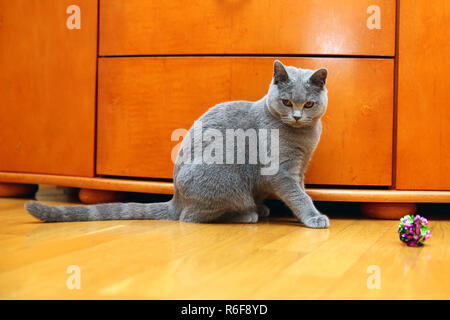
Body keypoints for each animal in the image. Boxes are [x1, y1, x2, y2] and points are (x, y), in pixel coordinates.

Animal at [27, 60, 330, 229]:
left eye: (309, 104)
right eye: (287, 102)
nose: (297, 116)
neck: (302, 137)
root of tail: (176, 197)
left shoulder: (299, 169)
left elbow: (300, 191)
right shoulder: (281, 171)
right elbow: (299, 196)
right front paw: (314, 217)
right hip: (225, 179)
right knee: (190, 216)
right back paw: (249, 214)